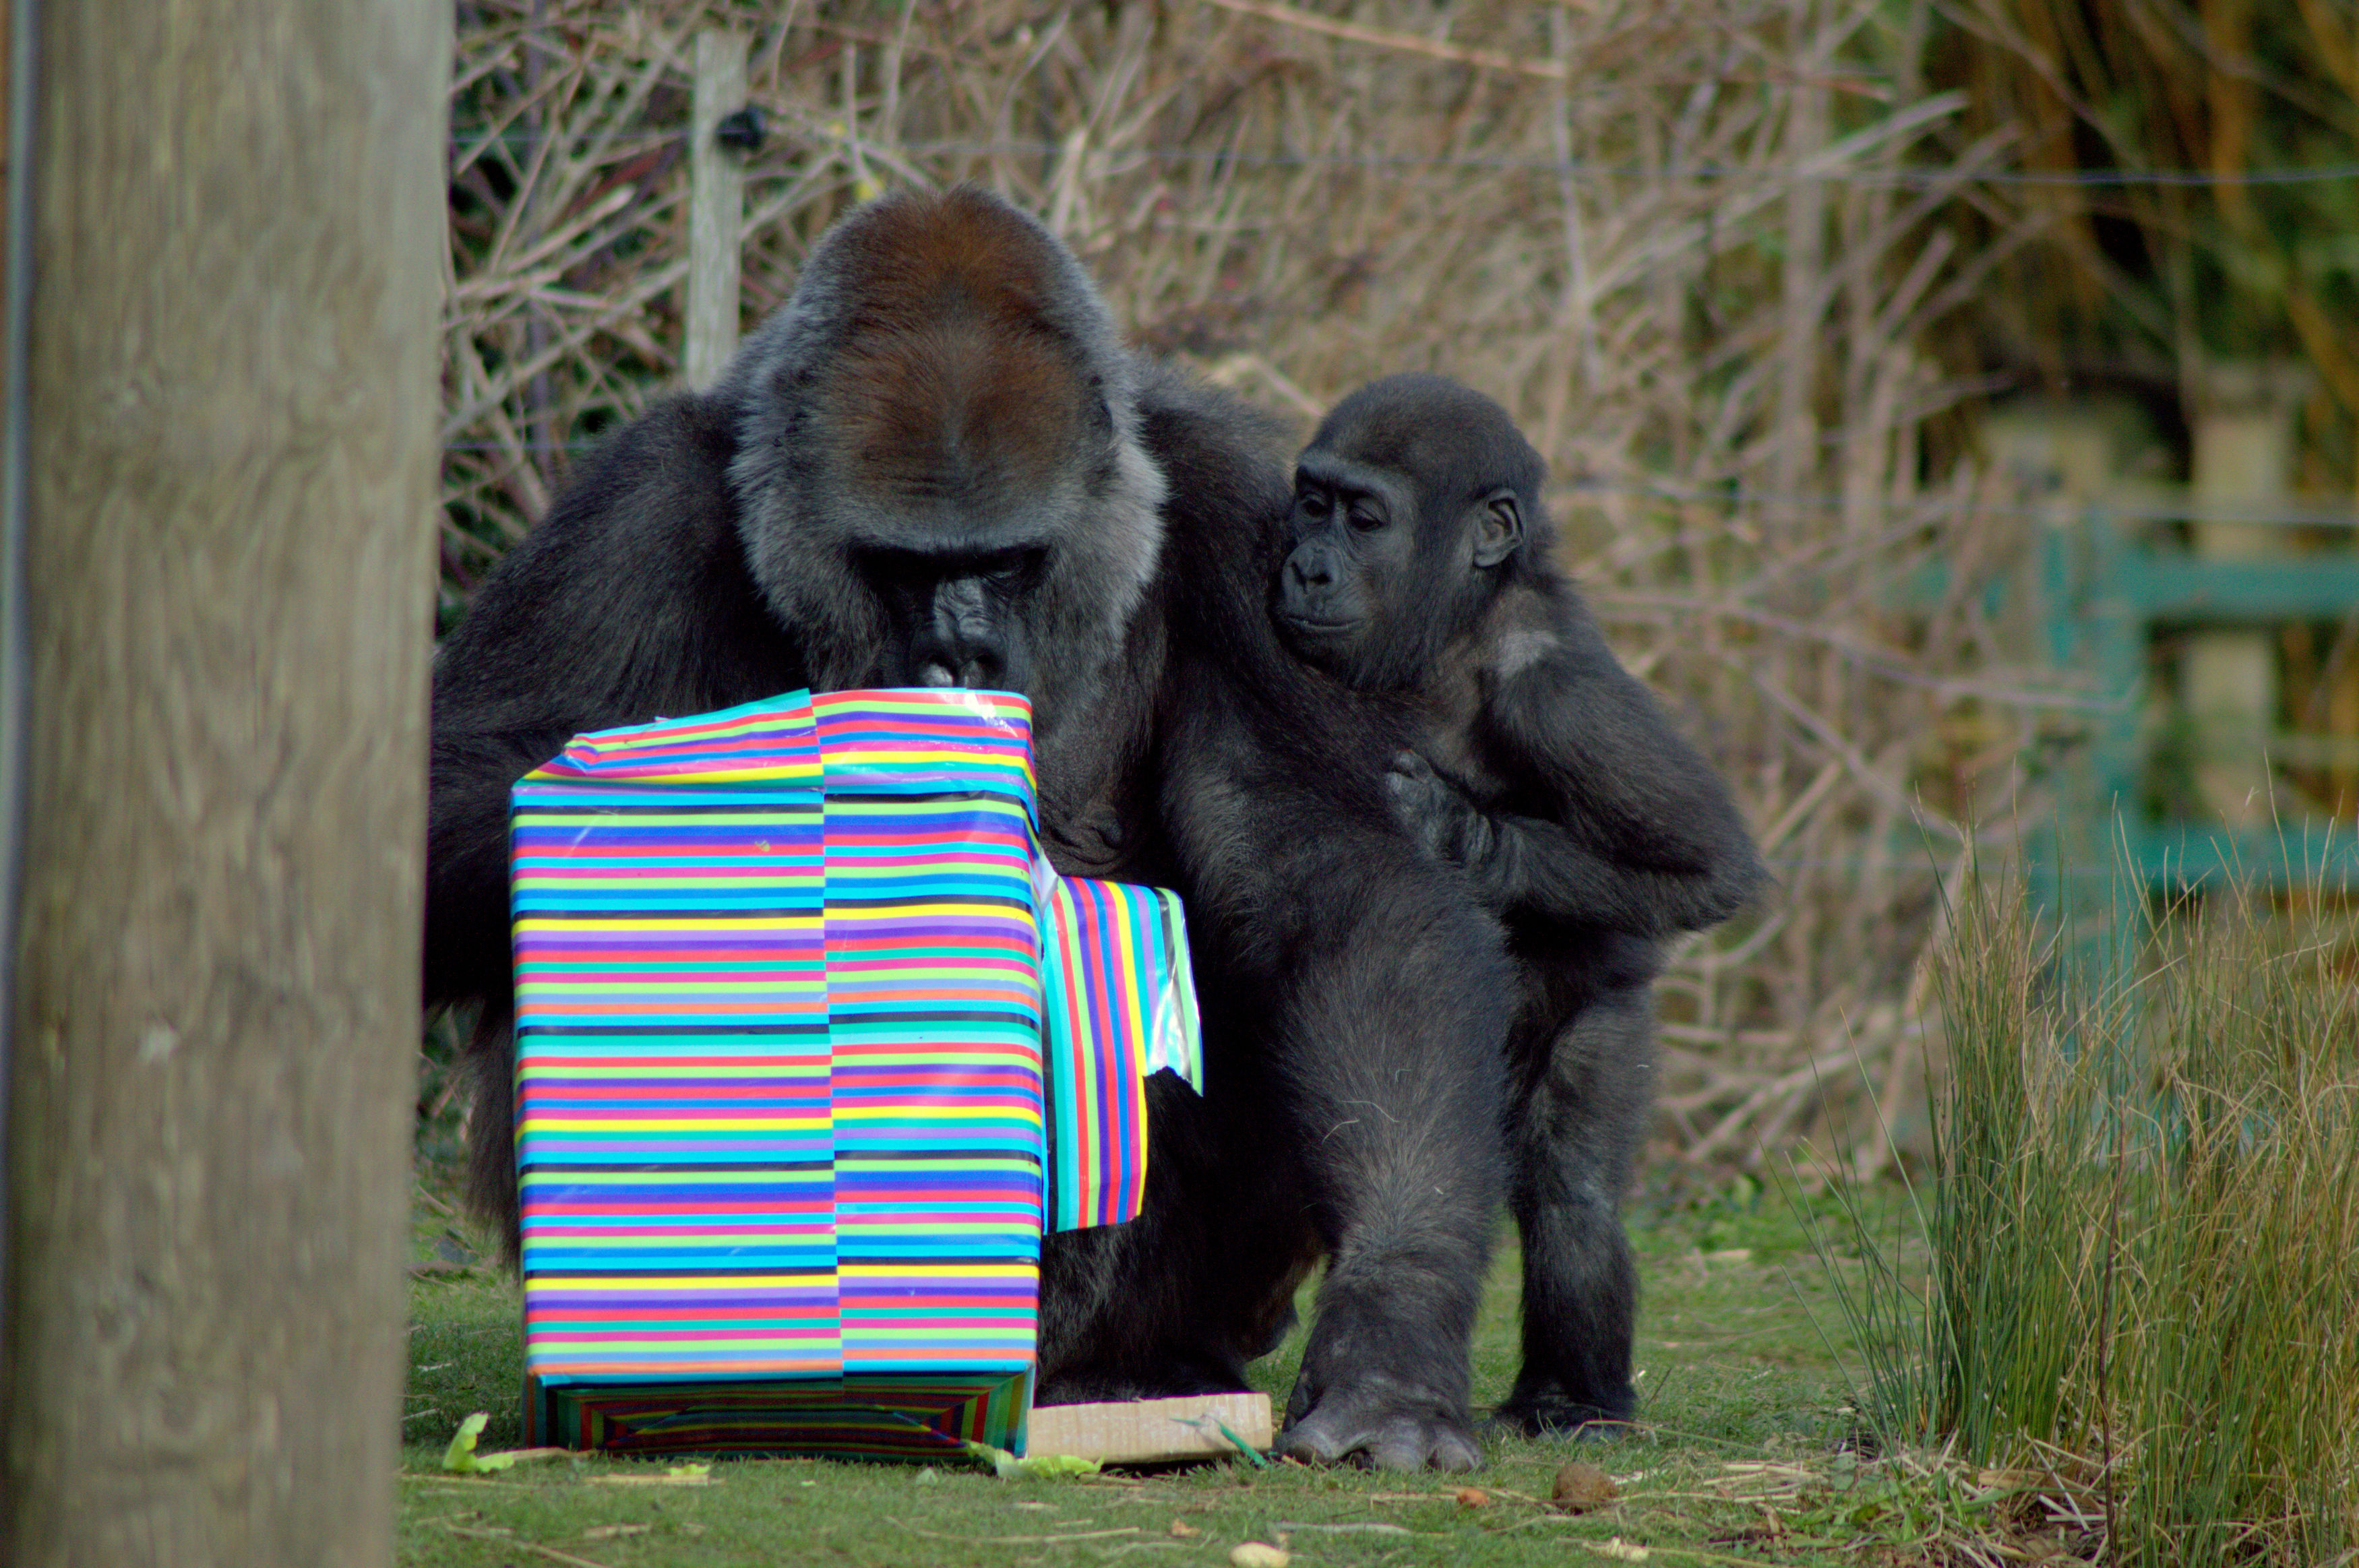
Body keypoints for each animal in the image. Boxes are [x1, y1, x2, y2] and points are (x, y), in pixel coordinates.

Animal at [429, 186, 1510, 1471]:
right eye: (902, 566)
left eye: (1010, 559)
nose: (961, 655)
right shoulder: (629, 511)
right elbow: (453, 789)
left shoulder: (1245, 518)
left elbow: (1338, 895)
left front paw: (1392, 1331)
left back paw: (1150, 1361)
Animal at [1283, 377, 1765, 1433]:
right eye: (1311, 501)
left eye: (1363, 516)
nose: (1303, 566)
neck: (1458, 620)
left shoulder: (1560, 692)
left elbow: (1710, 867)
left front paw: (1458, 834)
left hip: (1602, 1019)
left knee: (1570, 1192)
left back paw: (1575, 1394)